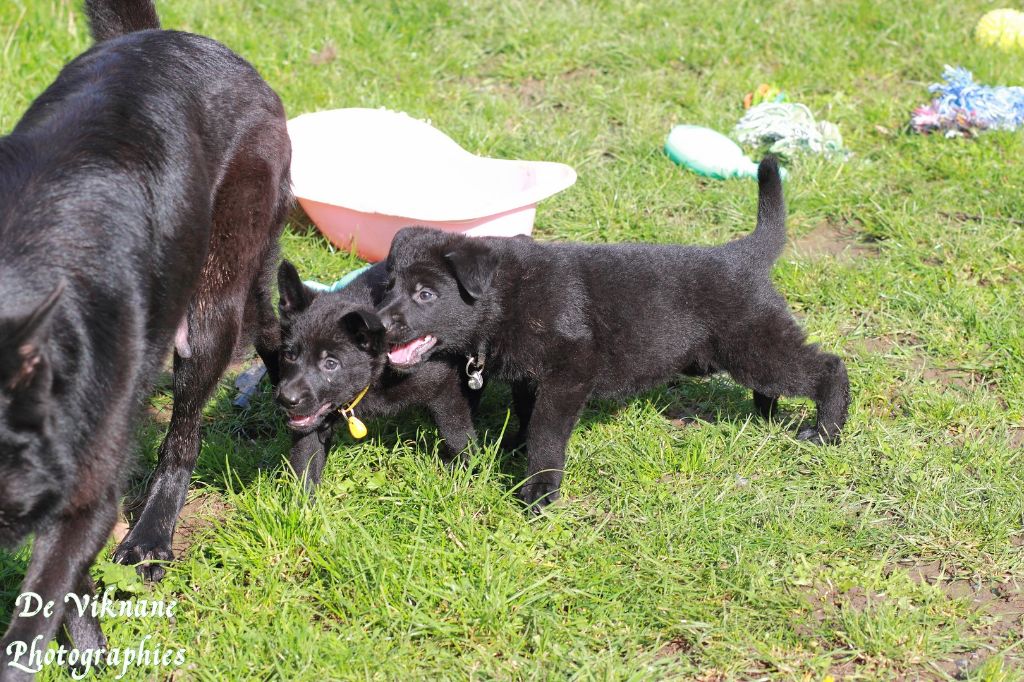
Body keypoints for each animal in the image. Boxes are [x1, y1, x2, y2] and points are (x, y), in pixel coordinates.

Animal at [0, 0, 290, 672]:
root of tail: (173, 39)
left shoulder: (85, 487)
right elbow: (59, 593)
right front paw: (90, 652)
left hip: (208, 314)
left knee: (184, 436)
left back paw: (151, 538)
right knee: (270, 320)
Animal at [276, 261, 480, 490]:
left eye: (330, 364)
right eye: (289, 354)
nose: (286, 399)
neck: (378, 374)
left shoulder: (443, 384)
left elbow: (456, 431)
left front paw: (468, 470)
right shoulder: (309, 419)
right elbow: (306, 459)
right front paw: (304, 498)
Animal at [378, 157, 850, 512]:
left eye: (425, 294)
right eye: (389, 286)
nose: (379, 324)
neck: (505, 295)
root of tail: (742, 256)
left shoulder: (569, 372)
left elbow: (546, 431)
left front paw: (539, 490)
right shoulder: (531, 375)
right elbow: (526, 415)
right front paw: (512, 447)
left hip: (752, 343)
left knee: (826, 366)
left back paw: (826, 431)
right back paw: (766, 413)